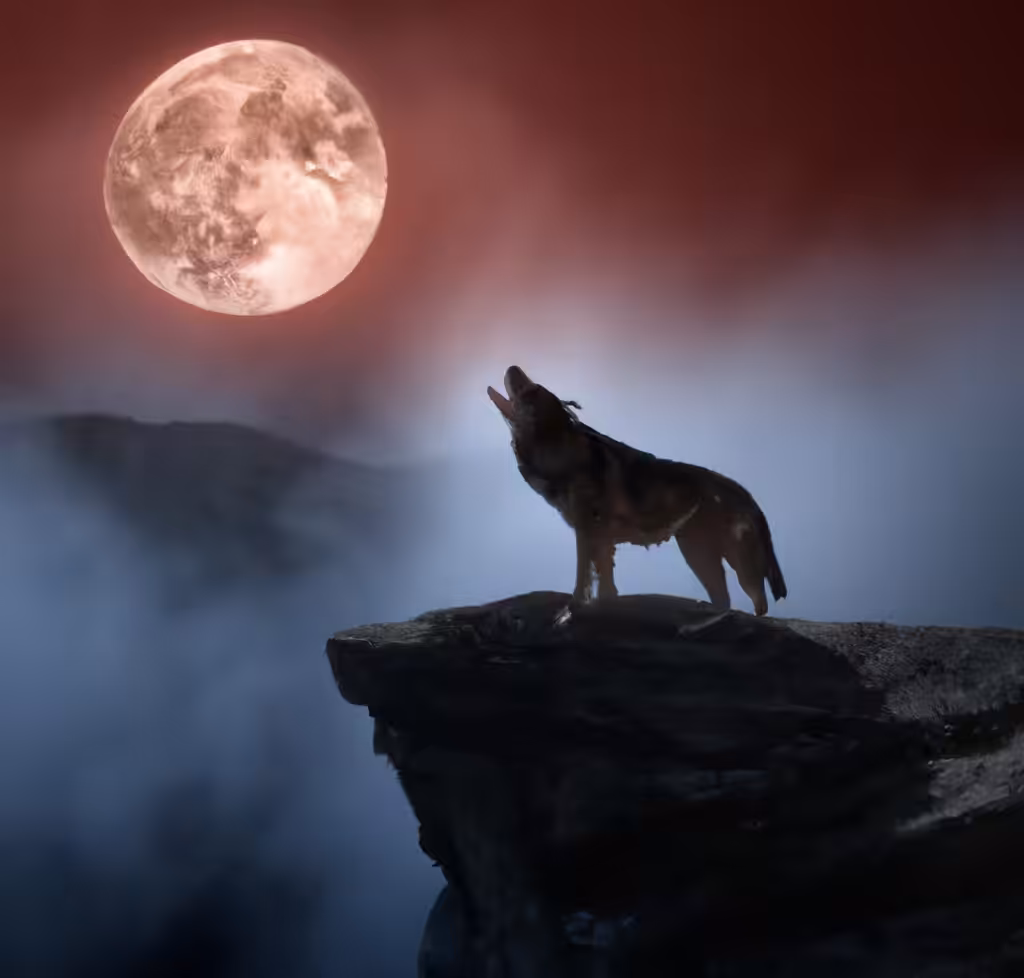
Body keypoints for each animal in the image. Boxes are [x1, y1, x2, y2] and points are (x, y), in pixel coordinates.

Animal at [487, 365, 787, 616]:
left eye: (530, 389)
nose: (512, 366)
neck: (558, 449)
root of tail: (743, 491)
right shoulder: (601, 537)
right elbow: (605, 582)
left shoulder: (586, 530)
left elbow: (582, 577)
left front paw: (572, 609)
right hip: (698, 552)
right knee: (727, 600)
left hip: (726, 558)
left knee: (756, 603)